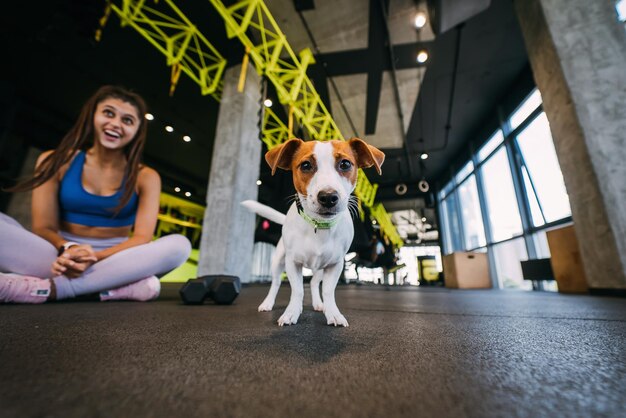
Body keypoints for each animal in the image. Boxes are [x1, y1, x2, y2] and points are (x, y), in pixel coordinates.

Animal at [241, 137, 382, 326]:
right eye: (306, 165)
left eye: (345, 164)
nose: (328, 197)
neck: (319, 225)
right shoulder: (292, 263)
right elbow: (298, 290)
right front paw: (292, 312)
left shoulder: (335, 265)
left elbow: (328, 291)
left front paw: (333, 313)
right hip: (278, 262)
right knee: (276, 283)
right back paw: (268, 303)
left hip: (319, 268)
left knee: (315, 284)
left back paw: (318, 304)